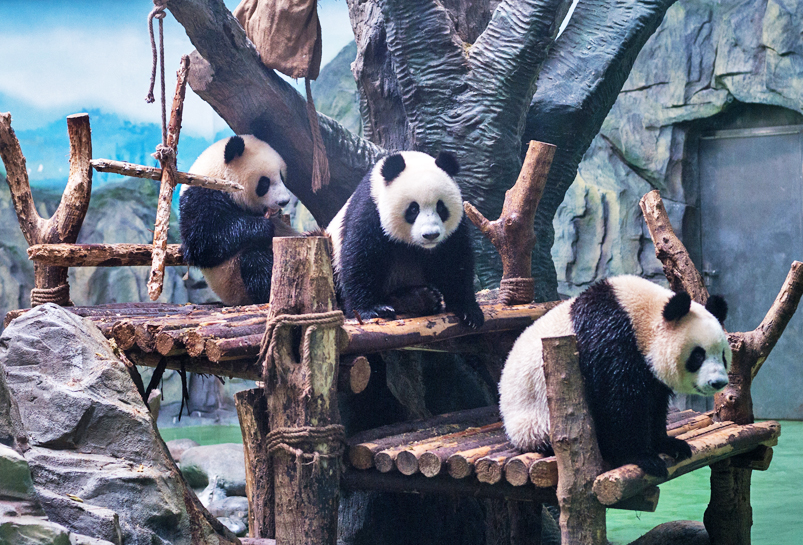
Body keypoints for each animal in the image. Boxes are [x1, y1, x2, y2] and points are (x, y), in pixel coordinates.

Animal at [179, 135, 297, 306]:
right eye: (264, 183)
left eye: (281, 176)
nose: (284, 201)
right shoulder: (200, 197)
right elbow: (203, 242)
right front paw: (263, 227)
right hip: (236, 284)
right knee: (256, 261)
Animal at [327, 150, 484, 329]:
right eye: (414, 209)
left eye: (440, 207)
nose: (431, 235)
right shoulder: (371, 210)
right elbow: (360, 257)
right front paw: (371, 309)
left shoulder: (454, 230)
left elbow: (455, 261)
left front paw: (468, 312)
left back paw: (421, 298)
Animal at [499, 275, 730, 478]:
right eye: (698, 355)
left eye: (723, 355)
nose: (718, 382)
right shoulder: (610, 341)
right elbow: (619, 401)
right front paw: (643, 457)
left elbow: (654, 403)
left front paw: (669, 444)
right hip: (536, 422)